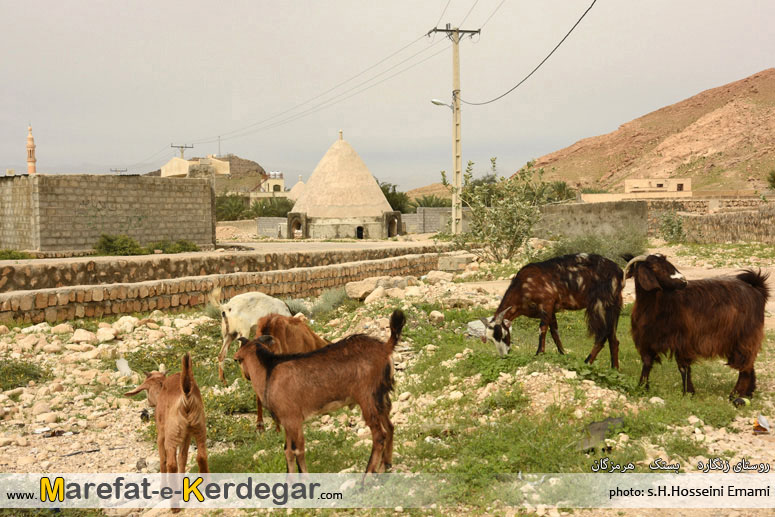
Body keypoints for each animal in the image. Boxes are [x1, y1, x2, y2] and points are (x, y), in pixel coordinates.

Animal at [235, 308, 406, 474]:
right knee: (390, 427)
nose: (245, 375)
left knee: (379, 435)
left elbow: (298, 451)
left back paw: (368, 474)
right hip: (381, 397)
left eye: (237, 360)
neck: (269, 372)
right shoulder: (287, 422)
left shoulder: (293, 419)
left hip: (367, 397)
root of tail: (385, 348)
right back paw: (385, 466)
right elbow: (288, 451)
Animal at [484, 253, 624, 366]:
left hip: (600, 304)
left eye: (503, 334)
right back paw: (614, 369)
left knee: (602, 335)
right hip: (613, 307)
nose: (503, 356)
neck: (523, 287)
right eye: (491, 340)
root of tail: (619, 272)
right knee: (613, 340)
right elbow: (555, 333)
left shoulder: (547, 304)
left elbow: (542, 329)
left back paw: (586, 362)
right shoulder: (551, 312)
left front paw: (539, 353)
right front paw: (563, 354)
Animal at [624, 254, 768, 400]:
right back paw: (748, 393)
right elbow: (647, 363)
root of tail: (756, 289)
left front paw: (688, 393)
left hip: (746, 336)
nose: (684, 281)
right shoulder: (646, 340)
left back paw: (736, 395)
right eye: (654, 267)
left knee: (745, 367)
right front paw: (642, 387)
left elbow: (683, 367)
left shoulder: (683, 340)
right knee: (749, 365)